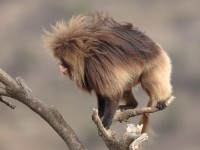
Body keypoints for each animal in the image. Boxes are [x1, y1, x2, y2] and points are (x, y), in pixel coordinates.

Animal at [43, 12, 172, 132]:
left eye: (63, 60)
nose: (60, 66)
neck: (85, 57)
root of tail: (157, 47)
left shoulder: (98, 68)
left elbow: (113, 93)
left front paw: (106, 121)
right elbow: (101, 94)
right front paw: (100, 115)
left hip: (155, 65)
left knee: (148, 82)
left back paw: (163, 99)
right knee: (126, 86)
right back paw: (131, 105)